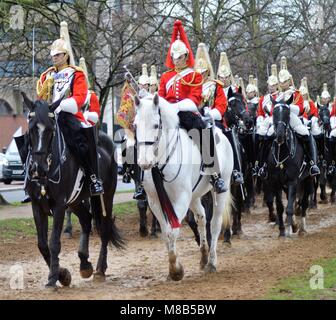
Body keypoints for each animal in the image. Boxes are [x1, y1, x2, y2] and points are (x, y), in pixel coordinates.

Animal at [21, 94, 124, 288]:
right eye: (31, 129)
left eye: (50, 129)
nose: (38, 168)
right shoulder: (37, 205)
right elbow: (42, 244)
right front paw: (62, 275)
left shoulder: (59, 205)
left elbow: (54, 242)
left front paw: (53, 278)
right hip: (75, 200)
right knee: (86, 220)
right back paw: (85, 264)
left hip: (106, 195)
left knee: (105, 228)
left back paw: (100, 269)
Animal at [134, 92, 234, 280]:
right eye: (135, 125)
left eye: (156, 125)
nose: (144, 162)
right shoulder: (155, 202)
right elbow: (166, 233)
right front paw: (172, 269)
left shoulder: (180, 198)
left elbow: (172, 231)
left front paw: (176, 270)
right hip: (193, 196)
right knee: (202, 217)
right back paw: (203, 256)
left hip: (220, 190)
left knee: (215, 223)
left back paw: (212, 262)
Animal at [268, 96, 312, 236]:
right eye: (274, 113)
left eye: (287, 113)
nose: (280, 135)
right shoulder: (276, 182)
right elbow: (281, 207)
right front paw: (283, 230)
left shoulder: (293, 181)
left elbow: (289, 207)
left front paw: (288, 229)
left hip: (308, 179)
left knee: (304, 203)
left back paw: (302, 228)